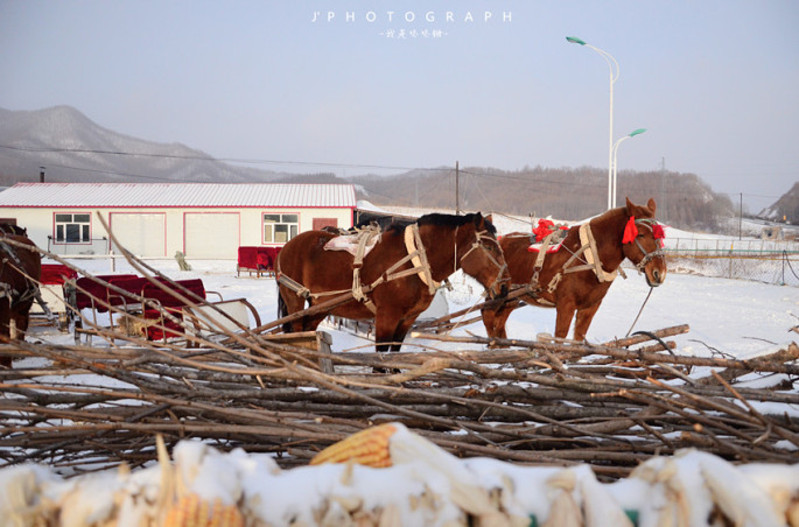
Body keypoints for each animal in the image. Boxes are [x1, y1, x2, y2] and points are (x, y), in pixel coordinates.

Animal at [278, 212, 510, 352]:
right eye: (489, 247)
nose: (505, 287)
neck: (413, 260)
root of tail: (287, 246)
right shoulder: (386, 316)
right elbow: (381, 357)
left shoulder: (407, 319)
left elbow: (394, 353)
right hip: (295, 301)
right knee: (295, 333)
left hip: (321, 306)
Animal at [482, 198, 668, 342]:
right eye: (641, 234)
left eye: (660, 235)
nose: (659, 273)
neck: (589, 257)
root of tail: (499, 240)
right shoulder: (566, 305)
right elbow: (560, 338)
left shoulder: (590, 307)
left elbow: (578, 339)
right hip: (497, 293)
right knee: (487, 315)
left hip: (512, 298)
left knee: (499, 322)